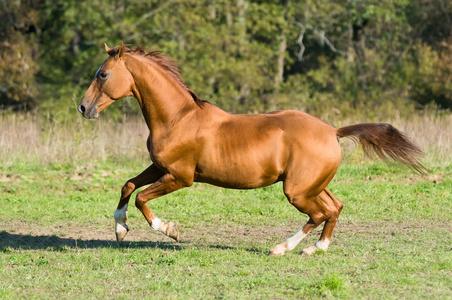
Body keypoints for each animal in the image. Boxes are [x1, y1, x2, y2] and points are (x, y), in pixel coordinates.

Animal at [77, 42, 424, 255]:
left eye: (103, 74)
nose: (83, 108)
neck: (178, 118)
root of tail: (332, 131)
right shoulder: (160, 167)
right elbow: (128, 186)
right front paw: (120, 229)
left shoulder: (180, 177)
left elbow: (141, 198)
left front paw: (170, 230)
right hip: (312, 185)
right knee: (334, 208)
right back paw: (316, 248)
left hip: (297, 191)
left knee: (319, 214)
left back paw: (281, 248)